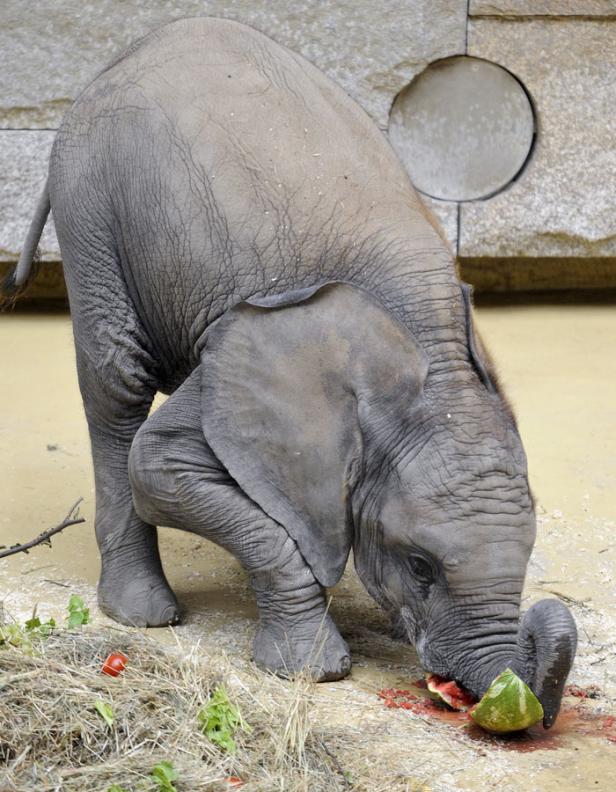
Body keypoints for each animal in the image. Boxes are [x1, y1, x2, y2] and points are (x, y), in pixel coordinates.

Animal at [4, 17, 576, 724]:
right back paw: (145, 614)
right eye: (420, 566)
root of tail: (120, 59)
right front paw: (313, 669)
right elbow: (159, 466)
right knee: (116, 388)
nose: (499, 694)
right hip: (92, 205)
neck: (433, 366)